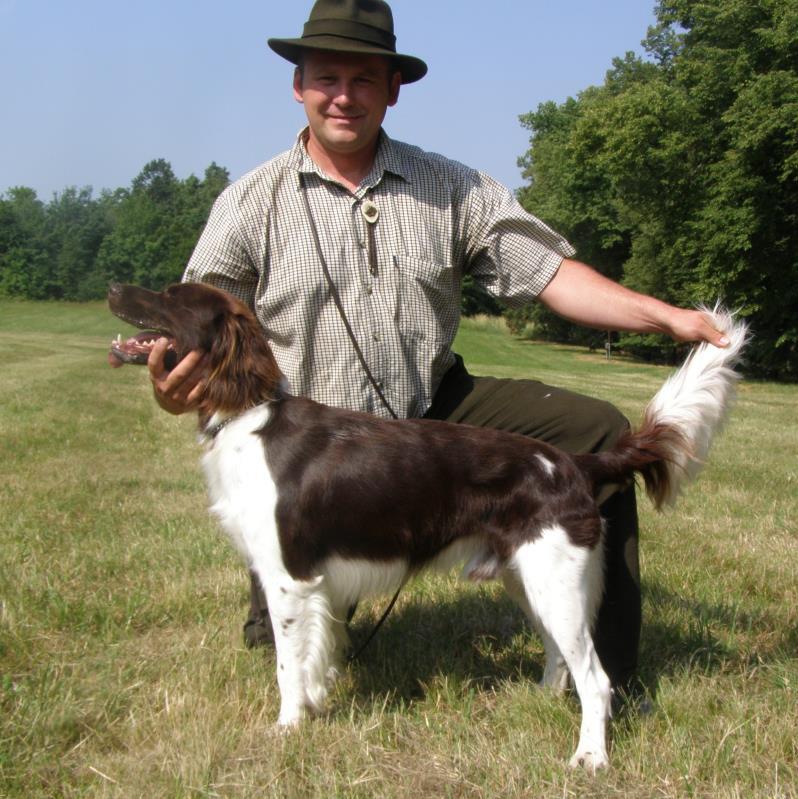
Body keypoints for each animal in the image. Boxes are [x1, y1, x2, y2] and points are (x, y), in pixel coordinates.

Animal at [108, 282, 752, 768]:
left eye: (170, 296)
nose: (114, 287)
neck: (248, 417)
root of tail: (571, 463)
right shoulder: (314, 587)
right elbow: (315, 658)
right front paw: (315, 707)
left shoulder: (288, 578)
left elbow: (289, 666)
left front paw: (287, 728)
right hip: (530, 578)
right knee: (559, 658)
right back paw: (538, 704)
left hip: (554, 578)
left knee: (595, 679)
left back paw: (589, 758)